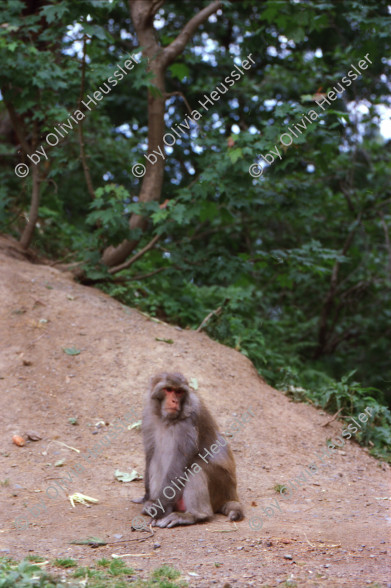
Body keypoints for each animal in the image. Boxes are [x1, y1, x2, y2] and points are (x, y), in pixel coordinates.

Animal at [133, 372, 243, 528]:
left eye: (179, 392)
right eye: (168, 389)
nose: (174, 401)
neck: (166, 419)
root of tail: (232, 494)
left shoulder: (190, 420)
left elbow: (179, 464)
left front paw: (159, 509)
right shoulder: (148, 416)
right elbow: (150, 454)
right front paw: (147, 498)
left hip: (221, 487)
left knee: (195, 468)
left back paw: (194, 515)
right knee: (156, 460)